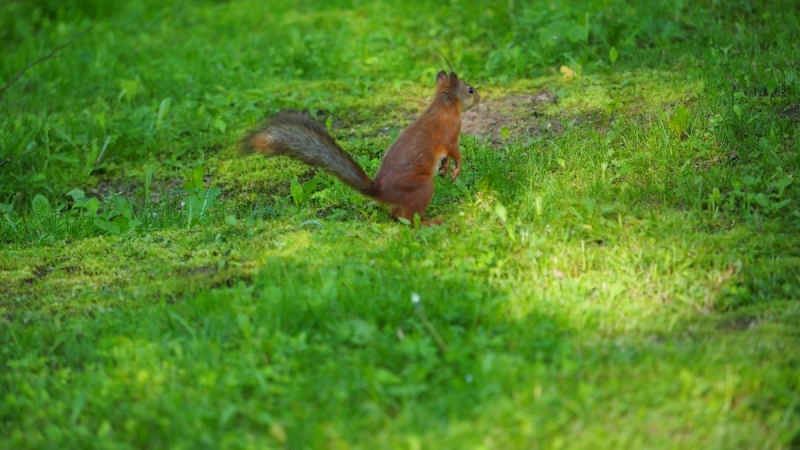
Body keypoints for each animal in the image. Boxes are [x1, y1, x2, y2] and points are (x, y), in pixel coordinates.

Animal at [241, 69, 478, 224]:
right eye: (470, 90)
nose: (480, 96)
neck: (444, 105)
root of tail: (382, 192)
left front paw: (445, 167)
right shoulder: (450, 132)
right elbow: (455, 152)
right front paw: (456, 167)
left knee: (396, 215)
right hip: (422, 187)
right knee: (407, 219)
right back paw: (430, 222)